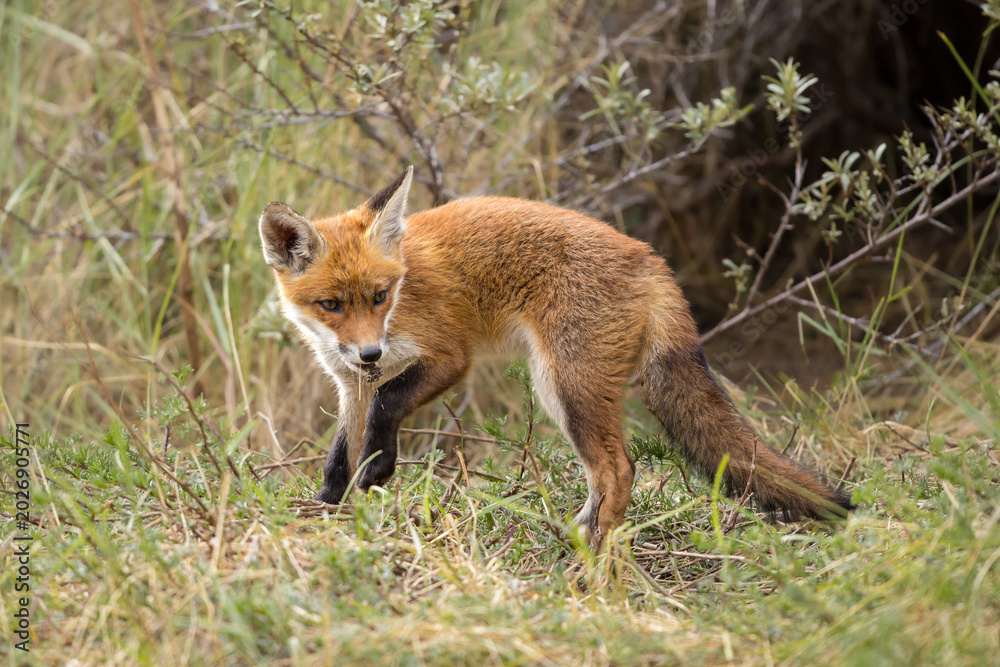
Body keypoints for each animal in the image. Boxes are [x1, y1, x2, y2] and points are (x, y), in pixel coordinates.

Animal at [260, 166, 854, 541]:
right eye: (331, 304)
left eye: (380, 296)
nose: (370, 350)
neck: (404, 293)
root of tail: (651, 258)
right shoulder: (348, 381)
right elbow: (340, 453)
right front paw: (328, 509)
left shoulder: (448, 356)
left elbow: (388, 404)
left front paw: (379, 470)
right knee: (611, 473)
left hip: (563, 384)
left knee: (618, 469)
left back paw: (588, 554)